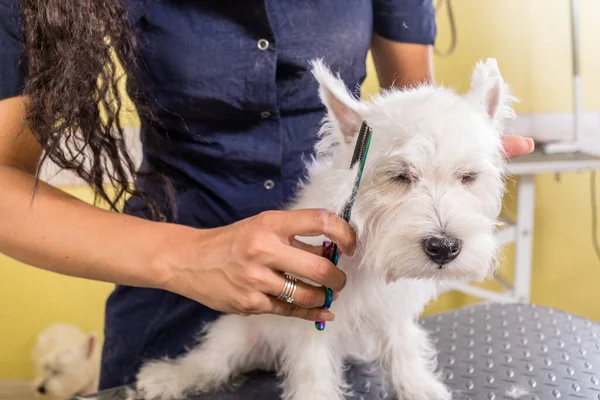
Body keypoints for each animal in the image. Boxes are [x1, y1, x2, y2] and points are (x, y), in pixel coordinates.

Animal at [136, 57, 516, 400]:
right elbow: (313, 368)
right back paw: (168, 377)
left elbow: (402, 349)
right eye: (399, 176)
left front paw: (418, 387)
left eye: (468, 177)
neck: (367, 258)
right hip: (240, 328)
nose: (444, 247)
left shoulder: (391, 310)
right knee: (213, 359)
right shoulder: (312, 315)